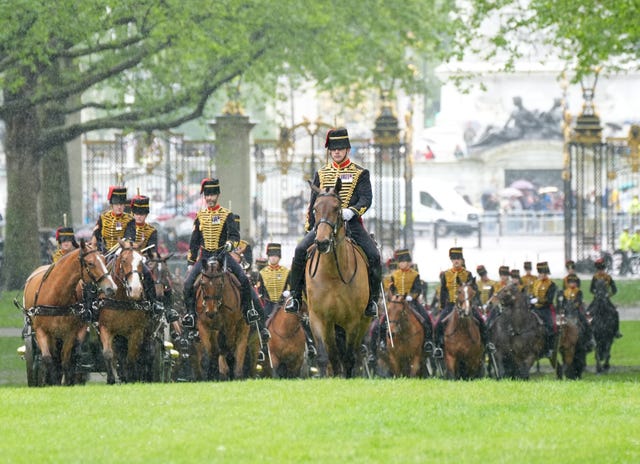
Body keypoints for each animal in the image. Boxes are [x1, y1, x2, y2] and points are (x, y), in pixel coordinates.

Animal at [22, 241, 116, 386]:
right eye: (90, 263)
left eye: (104, 260)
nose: (111, 287)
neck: (56, 296)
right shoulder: (40, 331)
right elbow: (48, 358)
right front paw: (51, 382)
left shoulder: (70, 332)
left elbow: (66, 360)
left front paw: (67, 383)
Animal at [97, 239, 149, 384]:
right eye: (124, 260)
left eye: (141, 261)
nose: (135, 290)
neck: (121, 300)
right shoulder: (105, 328)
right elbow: (108, 353)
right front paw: (111, 379)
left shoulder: (137, 331)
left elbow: (130, 357)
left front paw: (131, 378)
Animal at [304, 180, 370, 376]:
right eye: (315, 208)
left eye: (336, 208)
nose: (322, 242)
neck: (332, 274)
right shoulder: (318, 318)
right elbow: (325, 357)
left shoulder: (353, 321)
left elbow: (348, 358)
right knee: (334, 357)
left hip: (364, 322)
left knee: (356, 355)